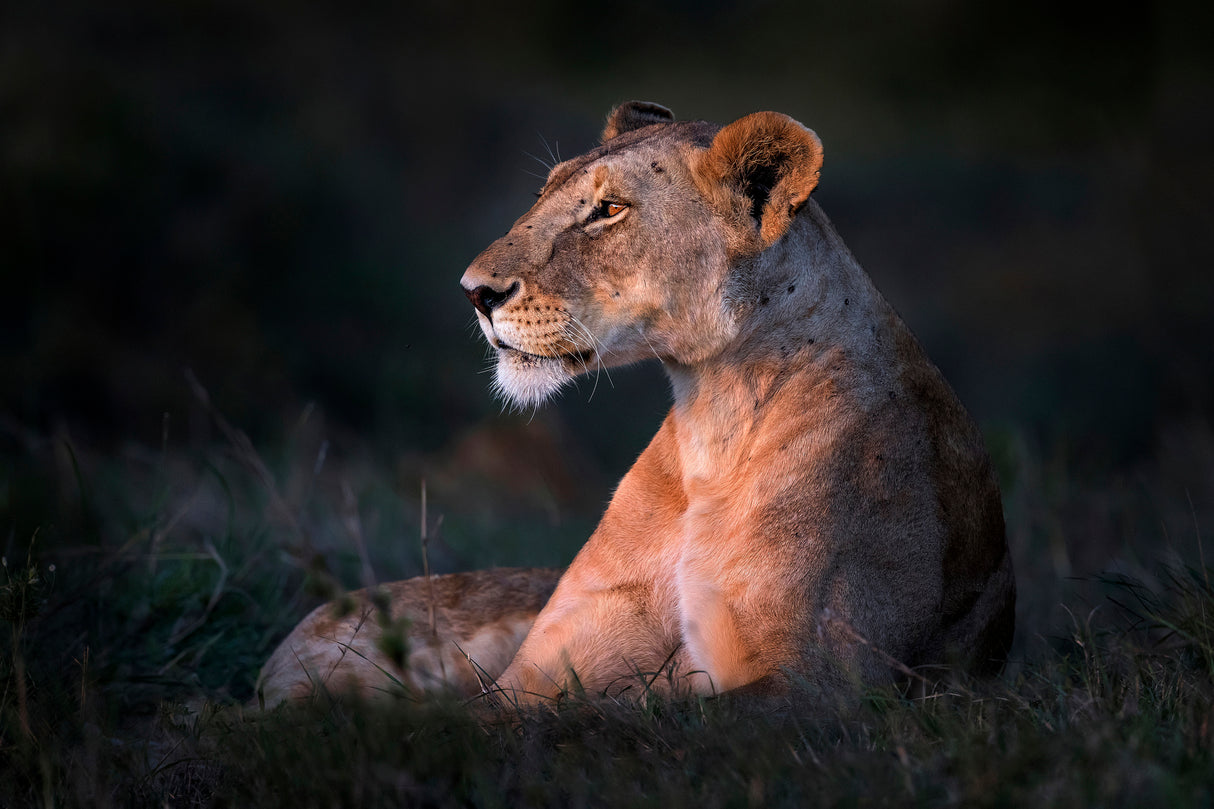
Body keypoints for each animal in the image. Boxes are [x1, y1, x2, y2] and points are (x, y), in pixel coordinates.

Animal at [257, 101, 1015, 707]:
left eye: (609, 210)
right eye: (544, 194)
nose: (475, 292)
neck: (713, 420)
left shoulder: (824, 684)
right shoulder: (537, 669)